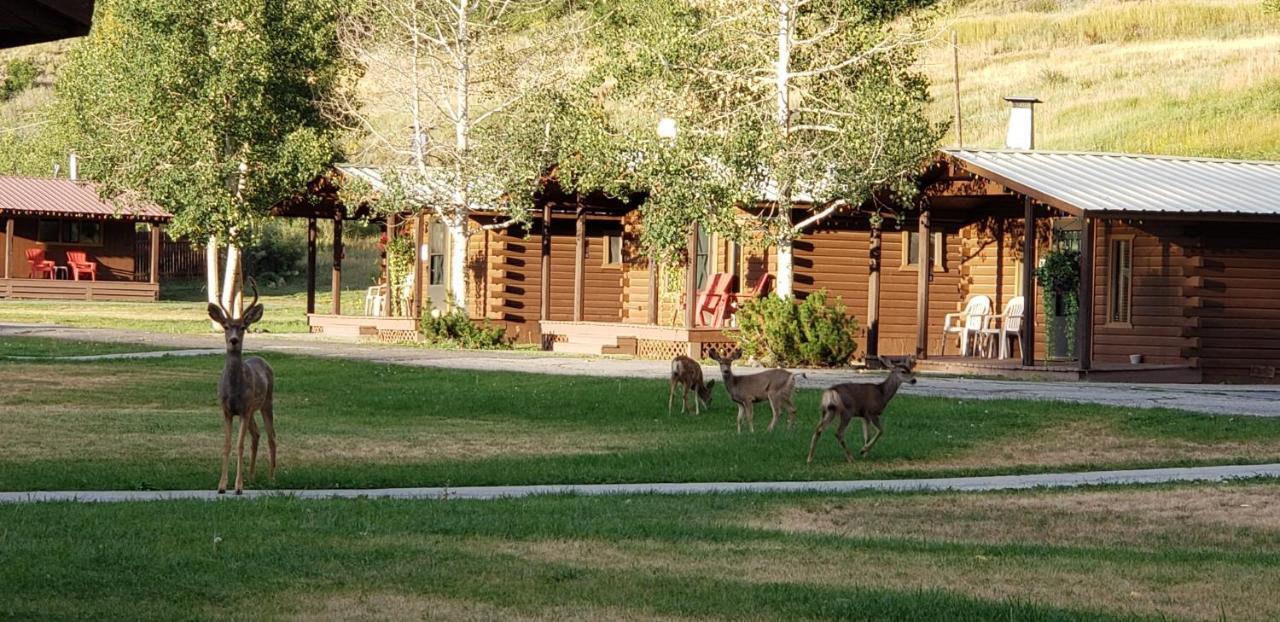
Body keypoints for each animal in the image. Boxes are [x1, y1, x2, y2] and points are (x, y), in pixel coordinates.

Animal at [206, 277, 276, 496]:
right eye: (226, 326)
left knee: (271, 436)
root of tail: (261, 360)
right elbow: (227, 445)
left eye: (243, 327)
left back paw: (271, 477)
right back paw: (252, 476)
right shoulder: (227, 410)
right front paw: (221, 486)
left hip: (266, 402)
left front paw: (238, 486)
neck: (234, 390)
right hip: (253, 409)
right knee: (257, 434)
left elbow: (239, 445)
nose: (234, 340)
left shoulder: (244, 409)